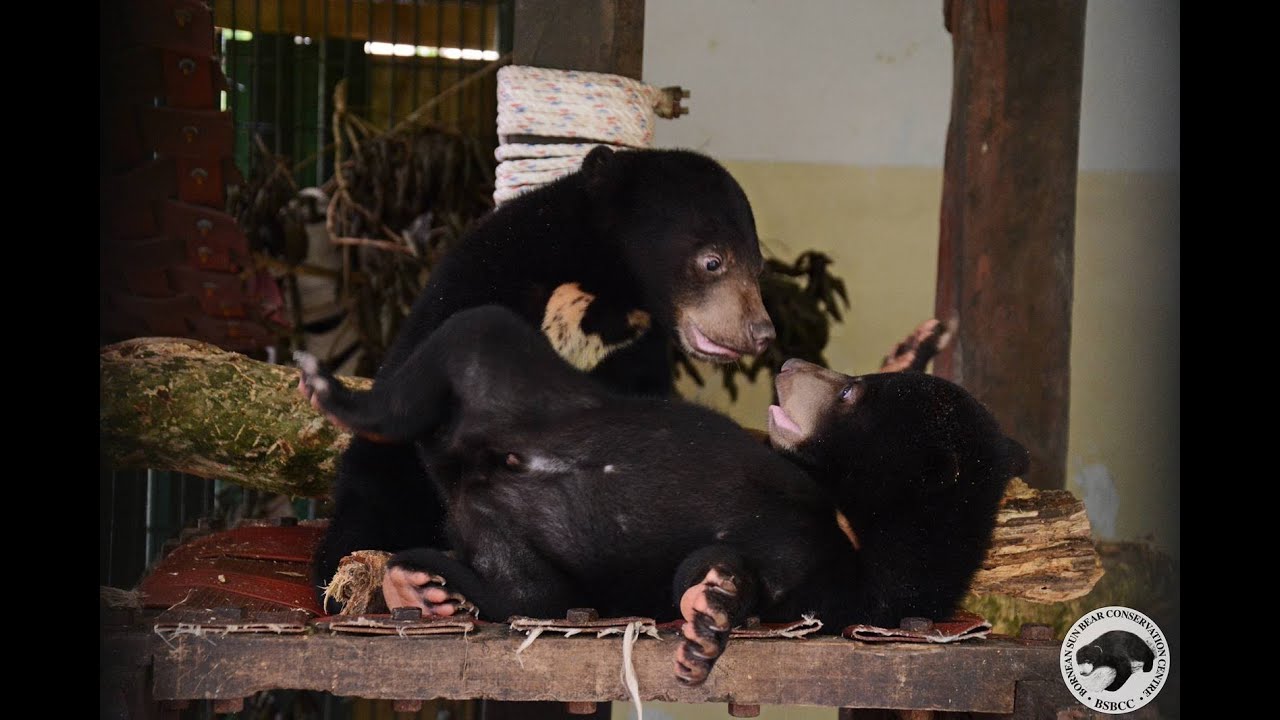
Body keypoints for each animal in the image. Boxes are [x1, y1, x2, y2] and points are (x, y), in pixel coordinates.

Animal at [296, 304, 1029, 685]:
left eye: (851, 393)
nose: (791, 361)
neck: (849, 525)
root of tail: (465, 467)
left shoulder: (832, 590)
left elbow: (735, 575)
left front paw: (708, 619)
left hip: (513, 541)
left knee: (522, 592)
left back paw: (421, 587)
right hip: (528, 390)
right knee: (464, 339)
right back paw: (334, 396)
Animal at [310, 147, 777, 611]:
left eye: (757, 269)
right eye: (712, 262)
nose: (761, 332)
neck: (605, 288)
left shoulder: (639, 350)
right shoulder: (481, 281)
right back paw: (405, 584)